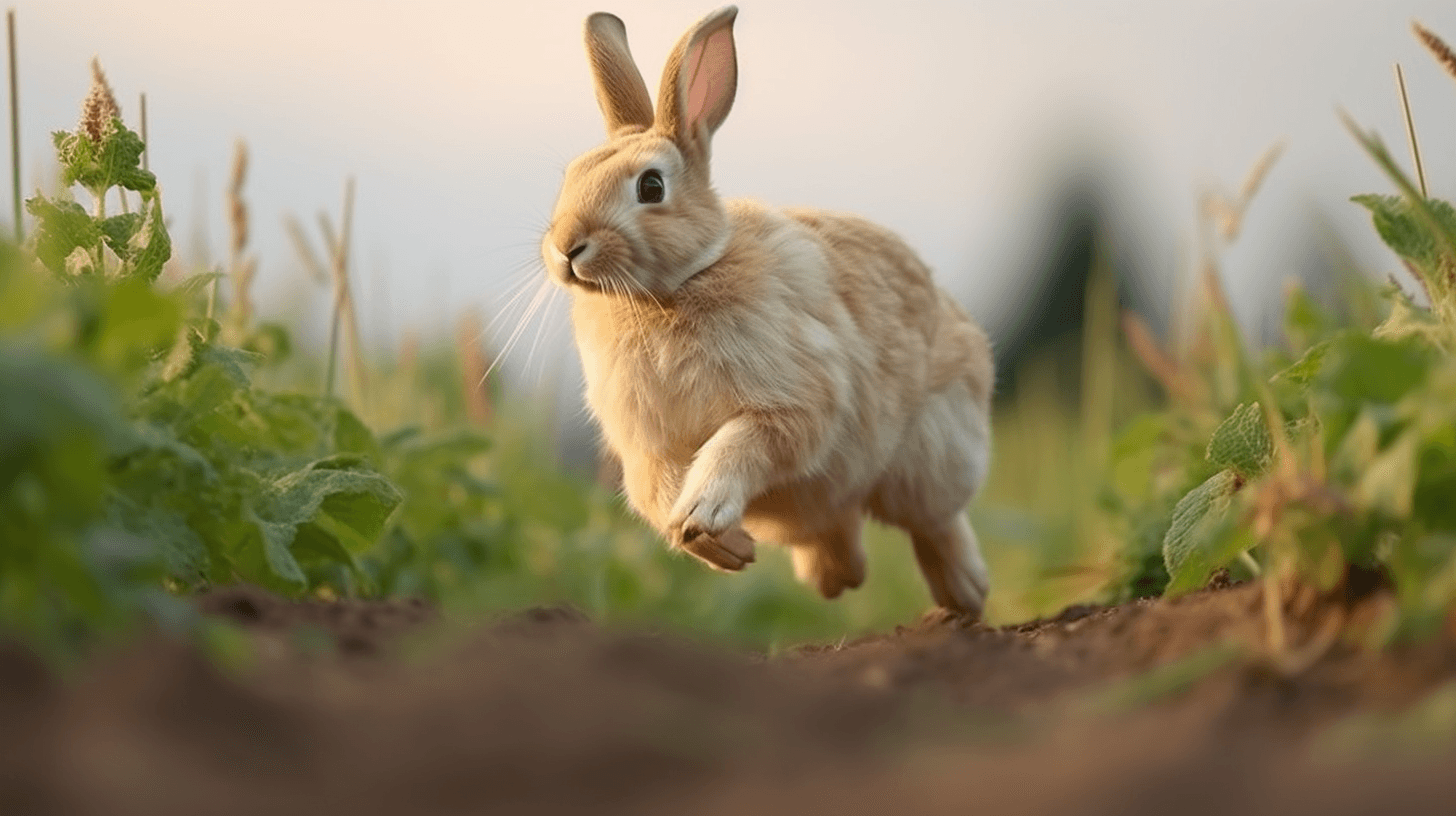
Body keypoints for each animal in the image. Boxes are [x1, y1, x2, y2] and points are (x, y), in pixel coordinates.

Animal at [540, 6, 995, 615]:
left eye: (651, 186)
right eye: (571, 177)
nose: (567, 247)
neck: (669, 292)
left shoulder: (794, 398)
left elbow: (743, 444)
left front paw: (702, 516)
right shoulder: (647, 449)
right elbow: (654, 492)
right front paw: (718, 546)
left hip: (929, 454)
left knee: (934, 521)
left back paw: (965, 595)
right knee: (840, 527)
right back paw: (836, 579)